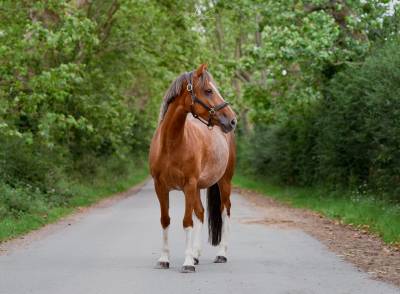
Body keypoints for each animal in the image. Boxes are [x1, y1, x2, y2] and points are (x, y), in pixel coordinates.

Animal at [150, 64, 238, 274]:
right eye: (208, 90)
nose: (232, 120)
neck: (171, 145)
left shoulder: (188, 186)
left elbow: (187, 222)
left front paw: (187, 262)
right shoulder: (160, 187)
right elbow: (165, 220)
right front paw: (164, 259)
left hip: (224, 182)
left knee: (225, 210)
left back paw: (221, 254)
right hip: (198, 188)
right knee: (201, 212)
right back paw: (197, 254)